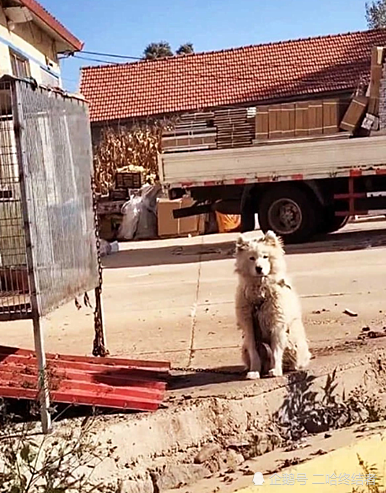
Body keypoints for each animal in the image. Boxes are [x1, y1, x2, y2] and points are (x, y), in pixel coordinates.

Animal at [235, 232, 310, 380]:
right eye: (251, 258)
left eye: (265, 256)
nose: (259, 268)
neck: (260, 290)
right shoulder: (249, 325)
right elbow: (253, 351)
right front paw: (254, 371)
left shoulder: (277, 324)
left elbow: (276, 351)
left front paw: (275, 370)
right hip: (245, 348)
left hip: (292, 341)